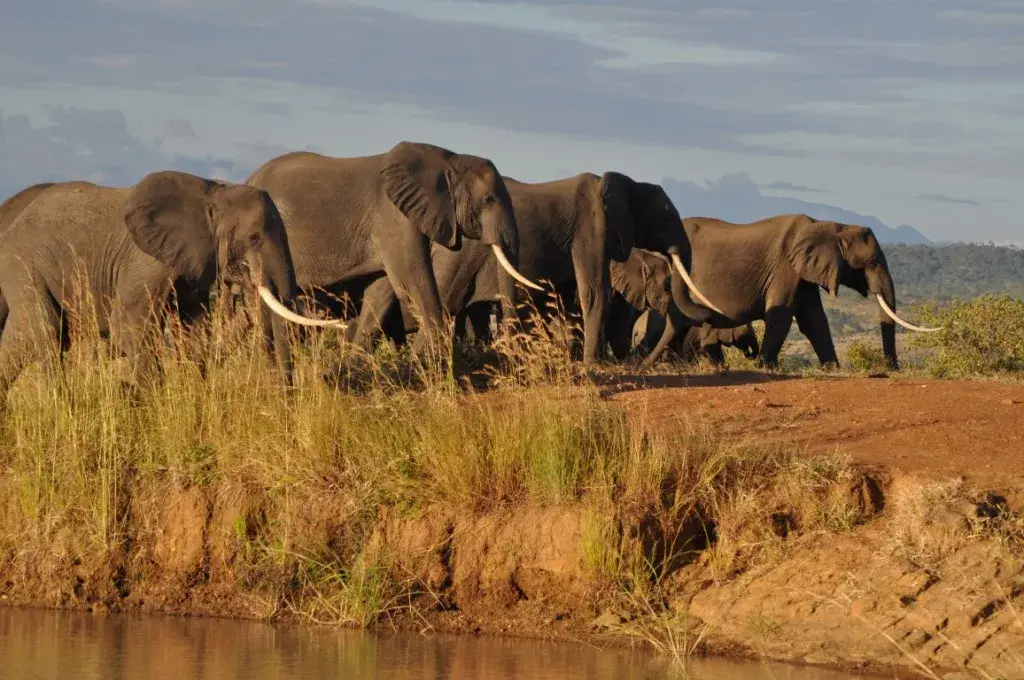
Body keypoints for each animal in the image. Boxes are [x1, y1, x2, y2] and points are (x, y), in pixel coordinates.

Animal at [0, 171, 342, 400]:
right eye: (254, 237)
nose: (284, 403)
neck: (214, 195)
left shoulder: (194, 260)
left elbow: (194, 330)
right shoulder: (146, 260)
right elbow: (128, 326)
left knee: (21, 340)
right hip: (23, 262)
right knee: (48, 334)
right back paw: (63, 405)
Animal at [352, 172, 721, 364]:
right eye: (666, 216)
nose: (638, 363)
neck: (618, 182)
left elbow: (572, 300)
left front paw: (576, 359)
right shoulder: (591, 228)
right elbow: (594, 291)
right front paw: (591, 365)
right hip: (457, 258)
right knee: (444, 303)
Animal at [675, 214, 940, 370]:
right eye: (873, 261)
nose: (891, 369)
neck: (834, 226)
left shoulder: (803, 274)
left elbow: (814, 320)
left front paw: (832, 369)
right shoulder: (785, 267)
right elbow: (781, 317)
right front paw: (765, 368)